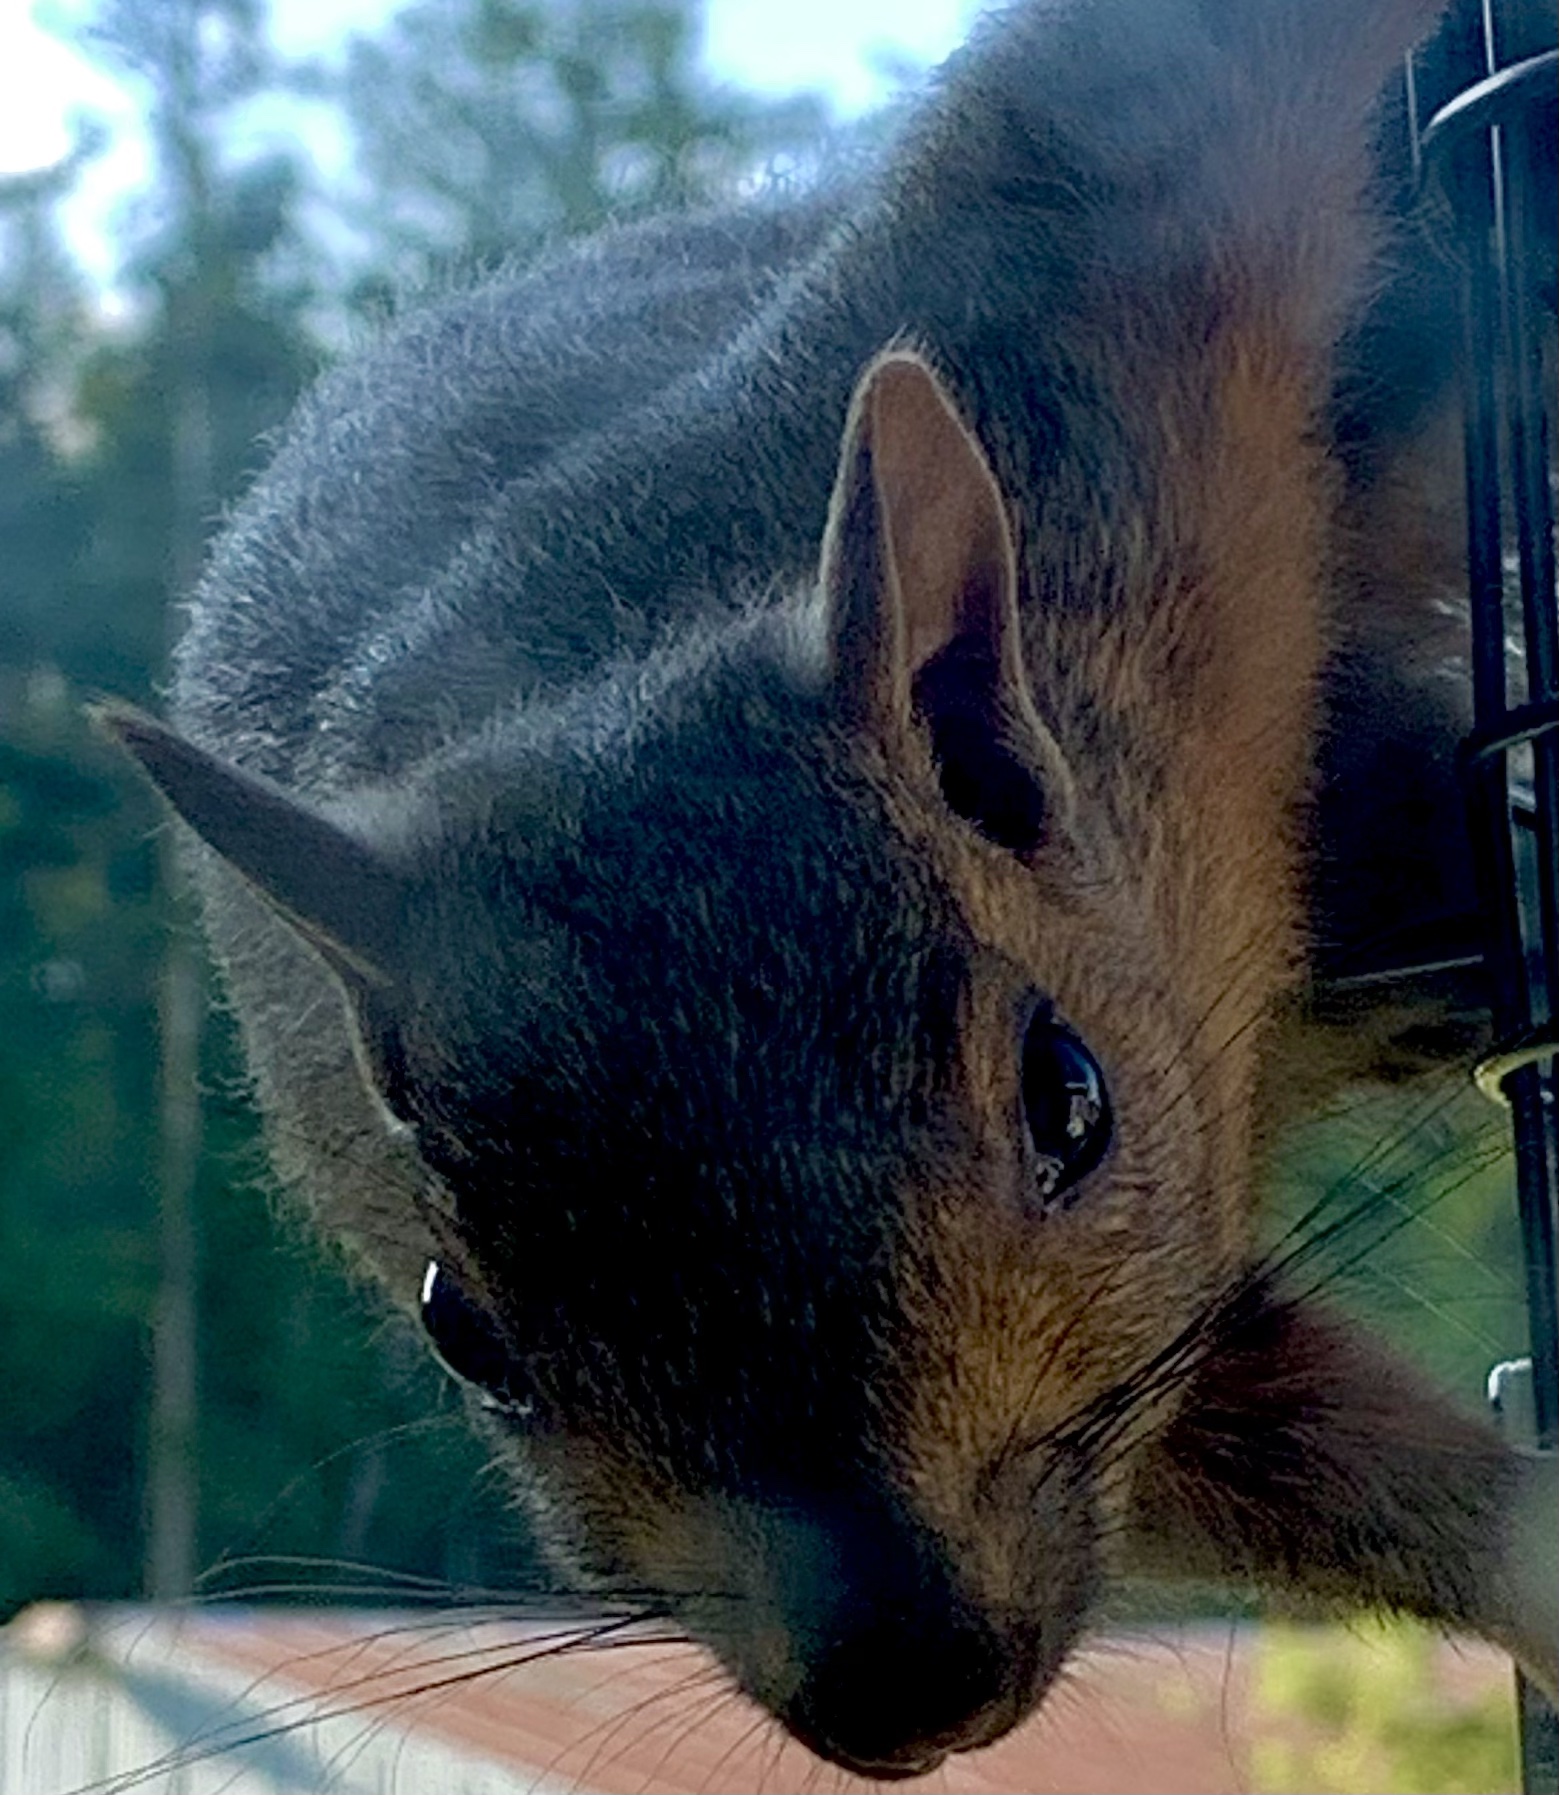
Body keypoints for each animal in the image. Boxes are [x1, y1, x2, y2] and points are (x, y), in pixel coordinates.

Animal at [102, 0, 1557, 1778]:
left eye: (1066, 1098)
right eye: (461, 1327)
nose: (901, 1682)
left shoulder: (1101, 261)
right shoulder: (1144, 1383)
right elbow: (1277, 1443)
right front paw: (1534, 1559)